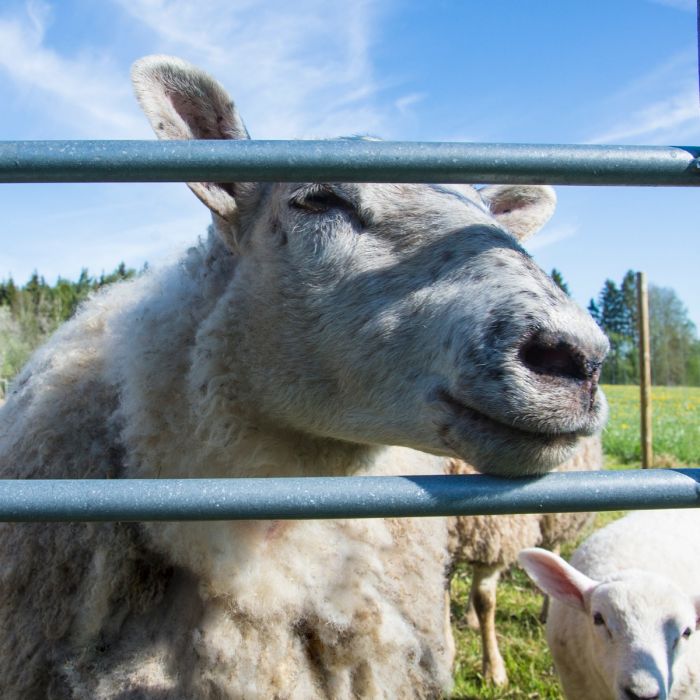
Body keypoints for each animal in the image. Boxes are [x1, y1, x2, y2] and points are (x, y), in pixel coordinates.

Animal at [448, 434, 600, 688]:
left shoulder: (497, 533)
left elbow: (484, 601)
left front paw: (494, 671)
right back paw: (469, 618)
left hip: (553, 514)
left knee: (552, 551)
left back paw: (547, 610)